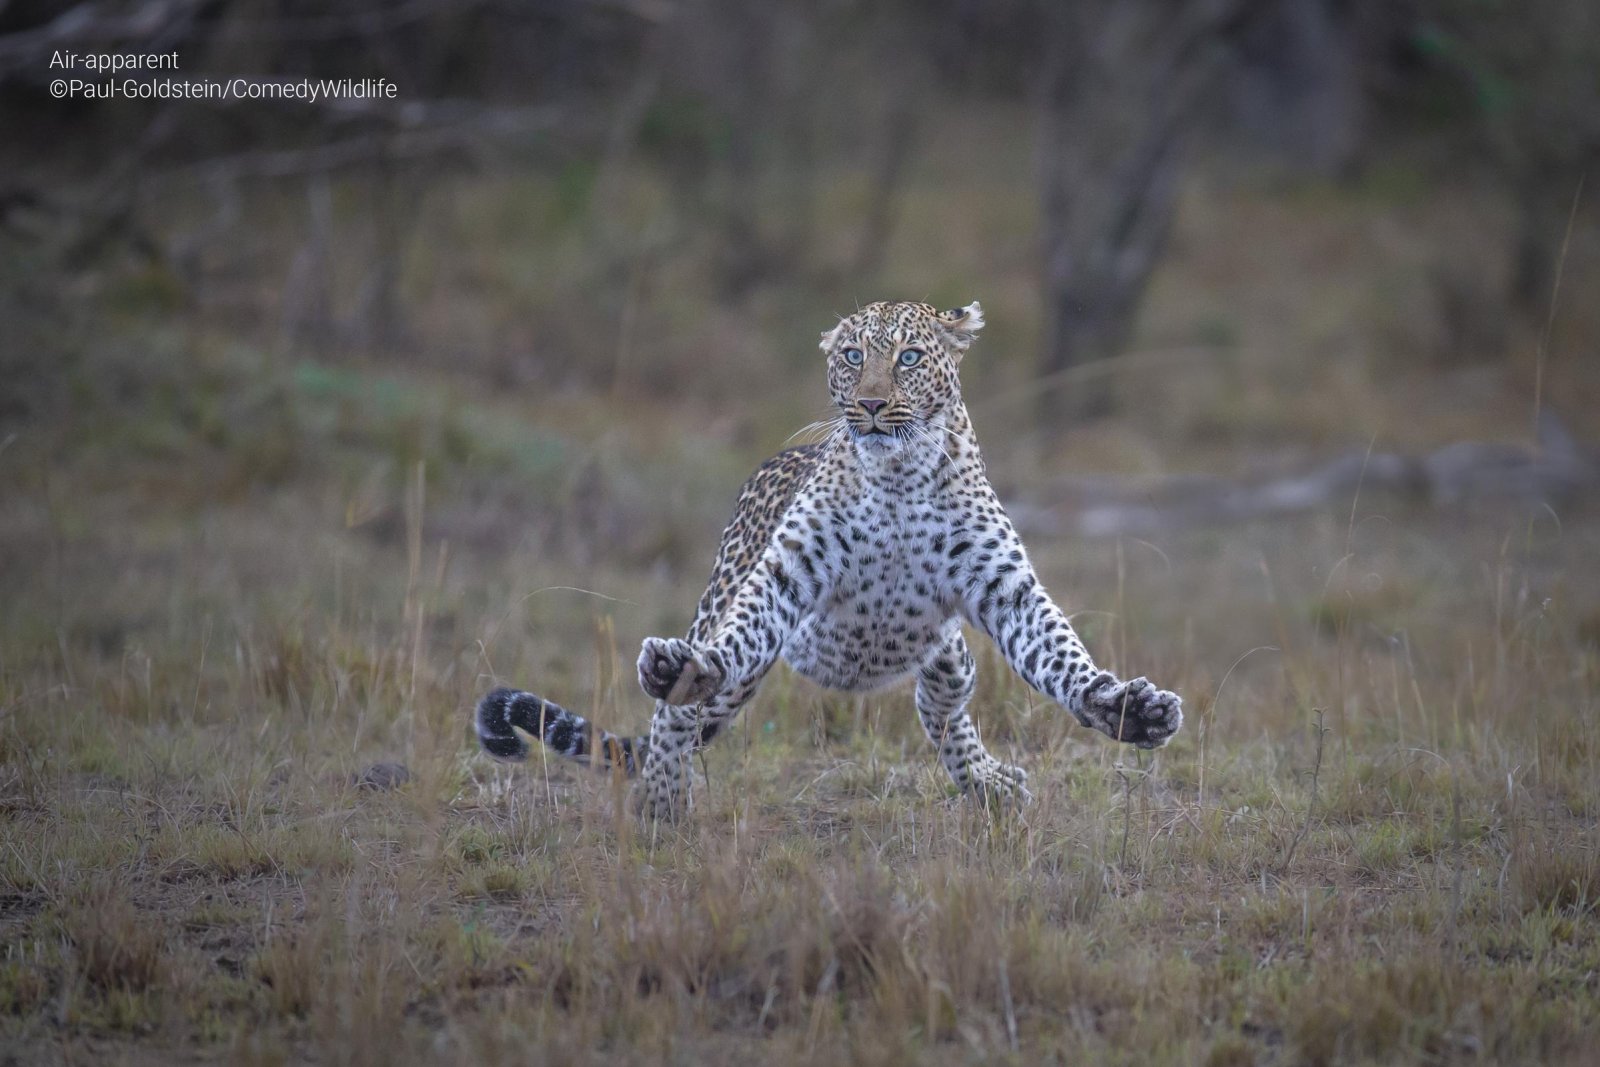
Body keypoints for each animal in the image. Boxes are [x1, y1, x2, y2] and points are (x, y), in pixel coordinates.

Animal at [467, 300, 1184, 819]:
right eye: (852, 355)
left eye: (909, 357)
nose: (869, 403)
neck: (898, 477)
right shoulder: (785, 574)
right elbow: (733, 641)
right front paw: (687, 676)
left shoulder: (1006, 587)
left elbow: (1061, 654)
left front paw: (1127, 708)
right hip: (728, 622)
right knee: (679, 714)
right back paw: (662, 795)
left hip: (948, 654)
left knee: (941, 709)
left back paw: (988, 784)